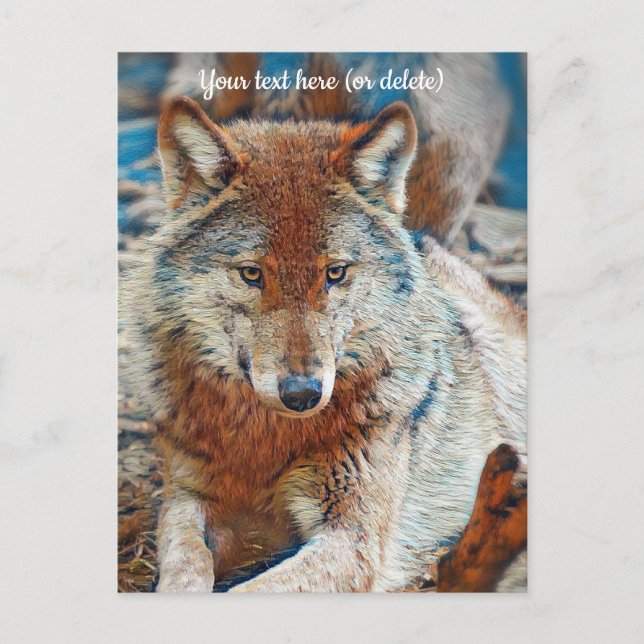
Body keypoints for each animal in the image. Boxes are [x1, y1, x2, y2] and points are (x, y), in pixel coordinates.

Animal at [123, 56, 526, 592]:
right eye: (252, 273)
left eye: (334, 273)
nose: (302, 394)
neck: (266, 439)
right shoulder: (189, 500)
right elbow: (183, 561)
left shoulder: (352, 540)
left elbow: (254, 590)